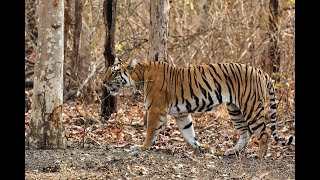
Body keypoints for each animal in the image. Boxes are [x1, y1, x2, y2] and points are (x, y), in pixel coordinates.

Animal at [104, 58, 294, 158]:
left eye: (113, 72)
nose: (103, 83)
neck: (140, 75)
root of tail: (261, 72)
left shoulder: (156, 109)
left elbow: (151, 132)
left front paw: (141, 148)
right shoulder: (181, 114)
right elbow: (189, 133)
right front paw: (198, 149)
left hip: (251, 106)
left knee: (264, 134)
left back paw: (259, 155)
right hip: (235, 109)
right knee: (245, 133)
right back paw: (232, 151)